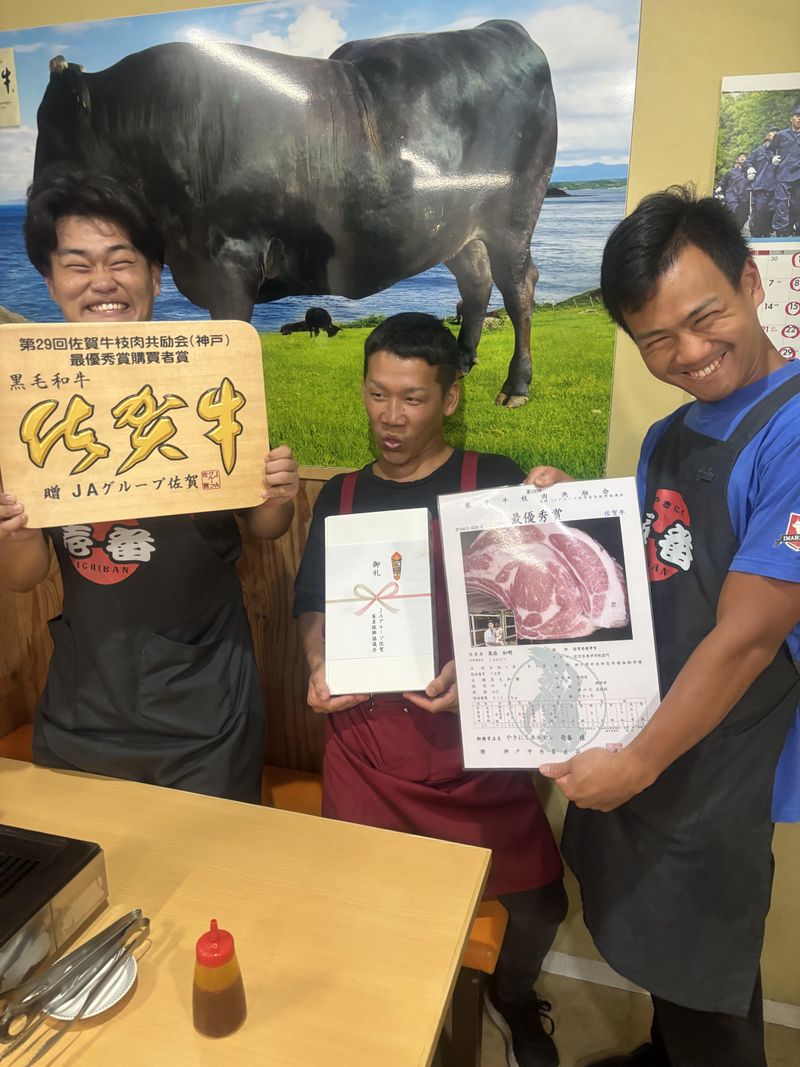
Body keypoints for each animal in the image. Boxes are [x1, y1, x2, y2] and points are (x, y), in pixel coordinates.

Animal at [34, 22, 556, 406]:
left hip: (514, 214)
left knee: (518, 288)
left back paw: (516, 386)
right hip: (456, 227)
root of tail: (503, 28)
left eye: (54, 131)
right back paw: (463, 362)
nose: (36, 219)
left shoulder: (230, 257)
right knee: (476, 281)